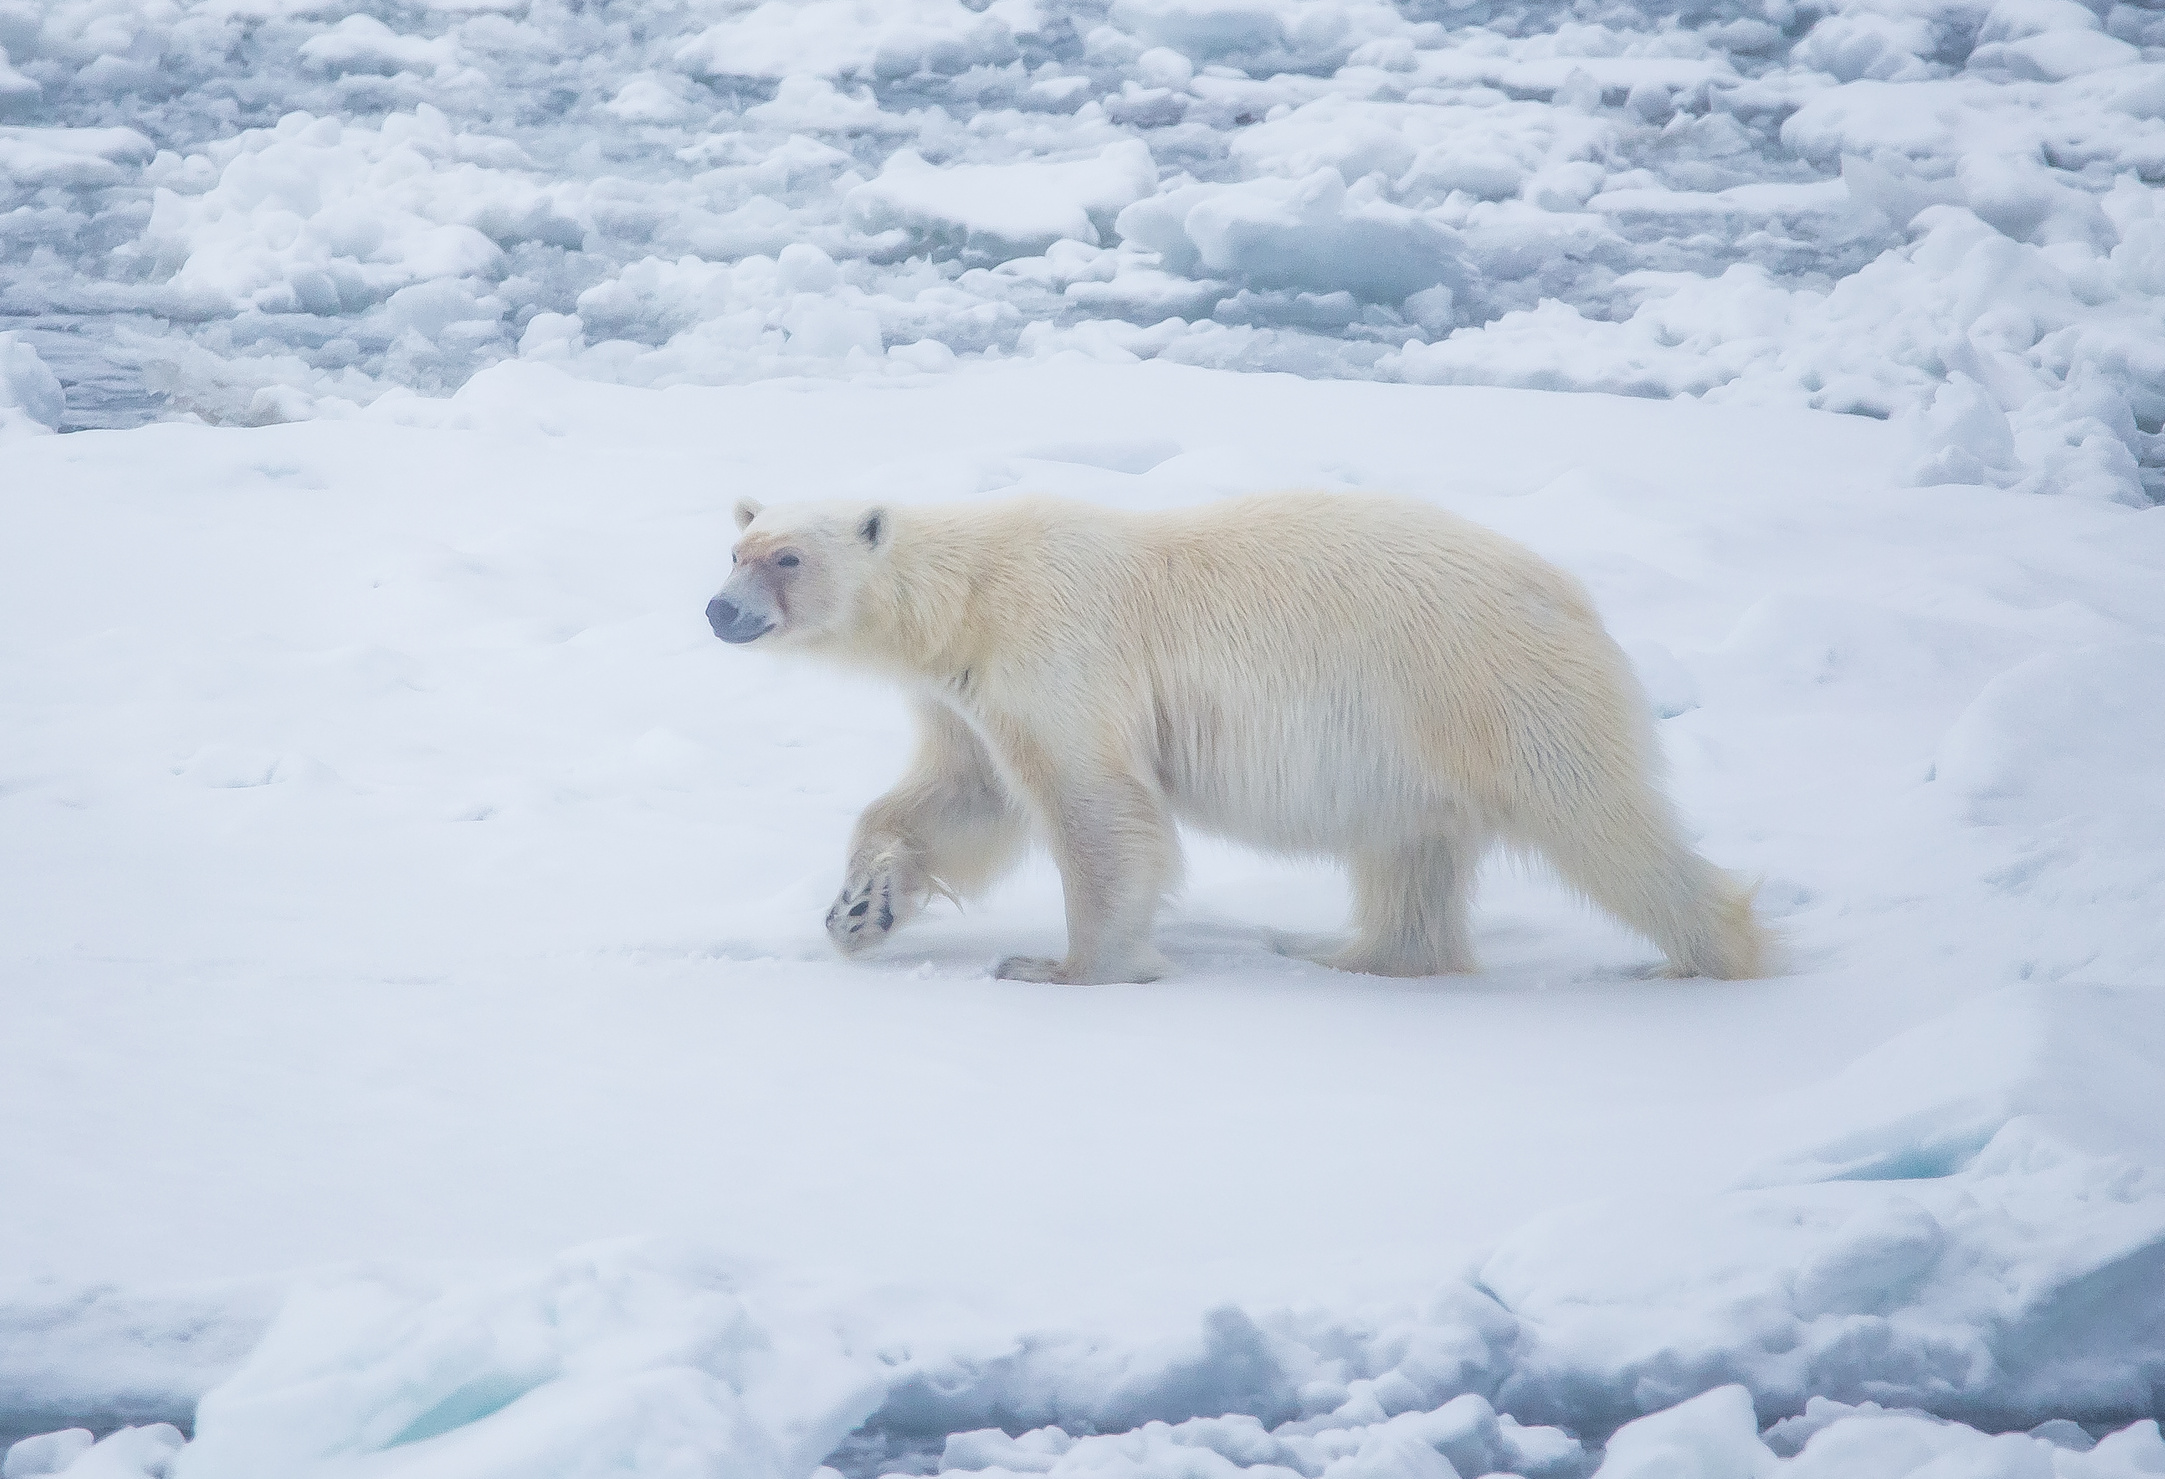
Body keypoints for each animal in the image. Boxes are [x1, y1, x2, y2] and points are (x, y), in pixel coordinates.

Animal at [701, 491, 1766, 987]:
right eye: (735, 547)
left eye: (786, 558)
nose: (718, 610)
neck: (972, 595)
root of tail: (1571, 597)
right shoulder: (968, 695)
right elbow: (959, 799)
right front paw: (859, 906)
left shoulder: (1058, 650)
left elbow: (1096, 810)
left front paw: (1061, 967)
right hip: (1416, 738)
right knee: (1410, 850)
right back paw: (1350, 953)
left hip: (1493, 689)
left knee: (1601, 824)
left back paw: (1702, 957)